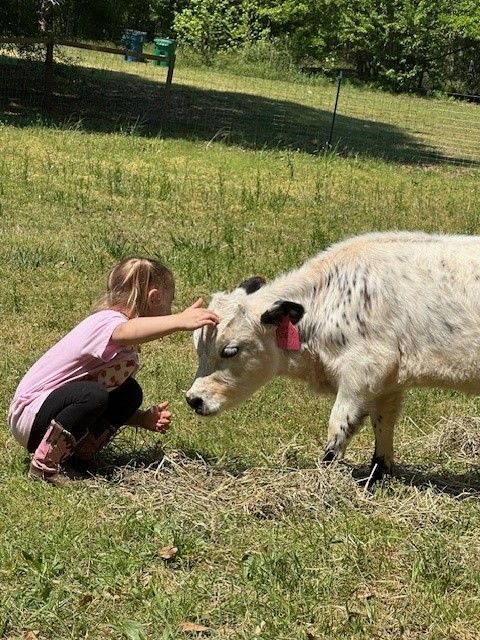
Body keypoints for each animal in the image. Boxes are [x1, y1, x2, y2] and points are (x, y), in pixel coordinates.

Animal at [186, 231, 480, 482]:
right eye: (197, 346)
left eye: (230, 350)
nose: (193, 399)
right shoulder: (389, 383)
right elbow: (383, 424)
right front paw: (377, 475)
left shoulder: (361, 373)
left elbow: (340, 425)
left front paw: (323, 477)